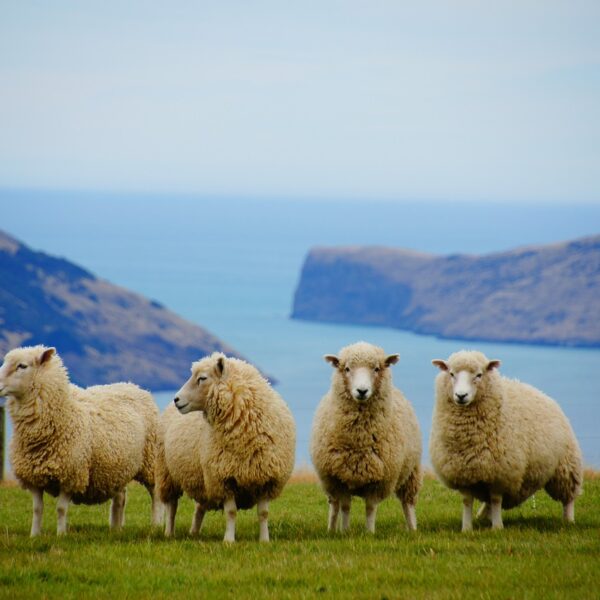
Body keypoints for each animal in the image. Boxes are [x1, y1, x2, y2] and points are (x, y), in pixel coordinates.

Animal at [0, 344, 162, 536]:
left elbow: (61, 509)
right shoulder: (33, 478)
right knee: (120, 498)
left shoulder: (71, 475)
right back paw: (115, 528)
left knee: (155, 494)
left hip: (150, 461)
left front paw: (61, 535)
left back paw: (156, 525)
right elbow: (37, 509)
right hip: (117, 466)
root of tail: (133, 385)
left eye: (22, 366)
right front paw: (34, 535)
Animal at [165, 352, 296, 544]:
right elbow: (231, 512)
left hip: (201, 478)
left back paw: (194, 532)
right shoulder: (223, 478)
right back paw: (169, 533)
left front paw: (264, 540)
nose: (176, 399)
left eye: (202, 378)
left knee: (199, 507)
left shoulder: (266, 478)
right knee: (171, 506)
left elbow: (264, 513)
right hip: (167, 474)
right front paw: (229, 540)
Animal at [310, 342, 422, 536]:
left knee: (408, 503)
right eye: (347, 368)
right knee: (334, 505)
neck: (359, 439)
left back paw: (412, 529)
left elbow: (370, 508)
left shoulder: (379, 480)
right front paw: (344, 532)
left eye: (376, 369)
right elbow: (345, 507)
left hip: (411, 471)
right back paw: (331, 529)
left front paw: (369, 533)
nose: (362, 391)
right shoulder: (339, 478)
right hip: (329, 482)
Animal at [428, 350, 584, 532]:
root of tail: (543, 394)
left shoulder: (501, 472)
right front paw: (467, 528)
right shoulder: (463, 472)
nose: (461, 396)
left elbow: (496, 499)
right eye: (451, 374)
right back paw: (483, 516)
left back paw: (569, 520)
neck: (469, 437)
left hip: (565, 466)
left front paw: (497, 528)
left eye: (479, 375)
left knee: (569, 497)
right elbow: (467, 501)